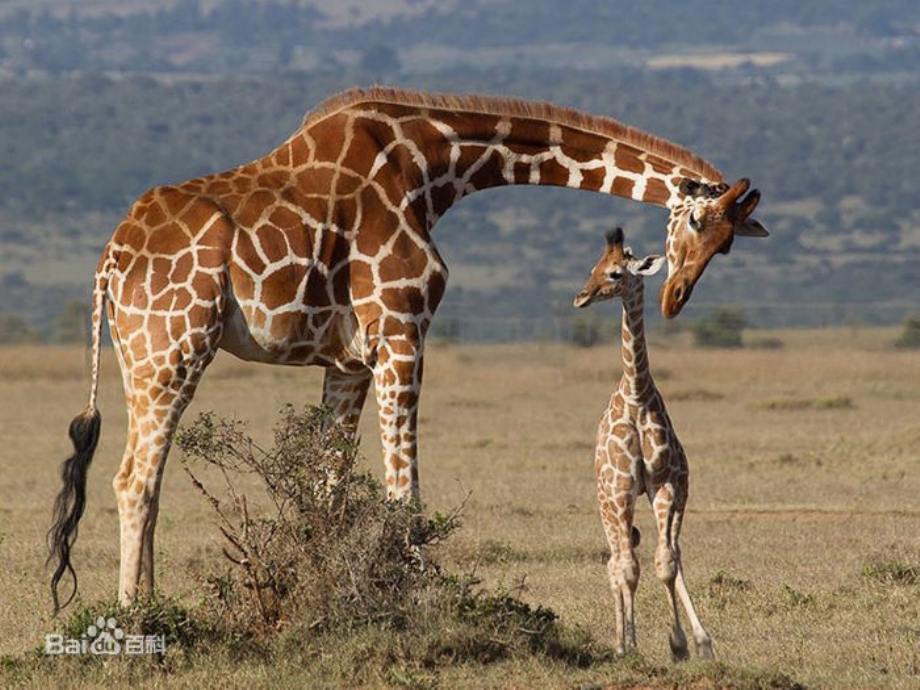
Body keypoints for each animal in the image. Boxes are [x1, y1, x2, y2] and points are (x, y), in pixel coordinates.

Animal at [50, 84, 768, 608]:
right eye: (695, 222)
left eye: (727, 245)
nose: (676, 298)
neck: (434, 168)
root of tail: (111, 260)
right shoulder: (402, 328)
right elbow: (405, 493)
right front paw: (421, 598)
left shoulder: (347, 359)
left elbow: (329, 489)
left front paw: (330, 596)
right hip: (174, 346)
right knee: (133, 478)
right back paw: (137, 618)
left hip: (137, 355)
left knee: (145, 478)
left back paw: (151, 603)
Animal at [576, 228, 712, 660]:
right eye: (593, 267)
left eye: (616, 273)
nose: (580, 297)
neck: (636, 394)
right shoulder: (621, 491)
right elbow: (629, 569)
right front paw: (630, 646)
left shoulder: (665, 484)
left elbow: (665, 562)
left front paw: (685, 643)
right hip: (606, 503)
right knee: (616, 561)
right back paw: (622, 642)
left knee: (665, 554)